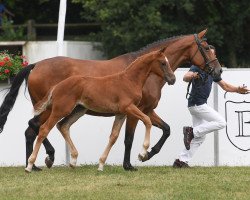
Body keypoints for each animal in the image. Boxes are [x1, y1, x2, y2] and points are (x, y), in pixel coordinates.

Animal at [24, 47, 175, 172]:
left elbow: (114, 136)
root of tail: (57, 86)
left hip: (78, 111)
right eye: (163, 63)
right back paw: (31, 165)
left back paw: (72, 160)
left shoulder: (121, 113)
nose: (172, 79)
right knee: (43, 129)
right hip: (60, 110)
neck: (129, 80)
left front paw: (101, 164)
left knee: (63, 126)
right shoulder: (130, 108)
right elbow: (146, 121)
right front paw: (142, 154)